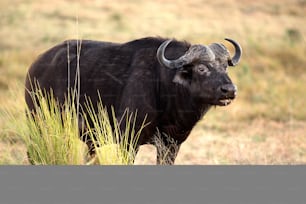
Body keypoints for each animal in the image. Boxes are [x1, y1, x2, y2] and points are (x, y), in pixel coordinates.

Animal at [24, 36, 241, 164]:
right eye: (202, 68)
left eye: (225, 67)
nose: (229, 90)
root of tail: (36, 66)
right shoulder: (128, 141)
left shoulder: (171, 145)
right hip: (39, 124)